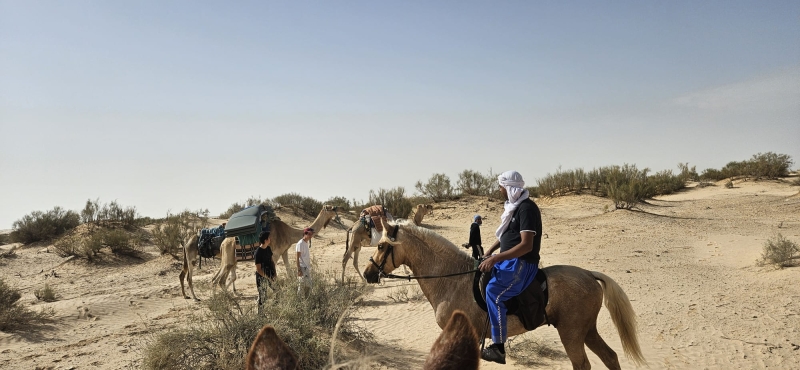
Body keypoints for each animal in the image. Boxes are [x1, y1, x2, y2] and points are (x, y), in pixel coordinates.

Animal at [180, 205, 340, 300]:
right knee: (198, 278)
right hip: (208, 257)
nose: (338, 209)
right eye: (330, 207)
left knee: (213, 278)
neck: (288, 233)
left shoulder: (284, 252)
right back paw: (202, 298)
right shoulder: (275, 254)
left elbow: (289, 272)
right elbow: (271, 275)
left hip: (228, 259)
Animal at [366, 221, 648, 368]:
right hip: (586, 330)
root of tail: (589, 274)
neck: (452, 279)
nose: (368, 273)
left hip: (571, 332)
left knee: (584, 364)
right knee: (610, 357)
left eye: (381, 246)